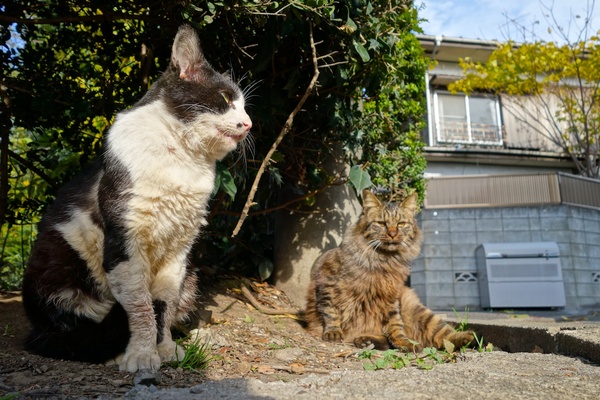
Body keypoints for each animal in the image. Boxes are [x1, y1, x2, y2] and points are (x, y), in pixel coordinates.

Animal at [22, 25, 252, 372]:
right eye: (225, 98)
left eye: (244, 106)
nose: (249, 123)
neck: (182, 158)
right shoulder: (126, 243)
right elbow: (141, 307)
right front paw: (142, 354)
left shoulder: (179, 250)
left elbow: (164, 305)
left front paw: (165, 349)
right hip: (57, 264)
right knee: (80, 328)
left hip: (191, 275)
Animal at [304, 190, 474, 350]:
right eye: (381, 223)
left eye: (400, 224)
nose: (392, 233)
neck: (384, 260)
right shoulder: (327, 283)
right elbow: (331, 312)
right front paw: (333, 331)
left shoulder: (391, 297)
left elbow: (395, 325)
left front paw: (403, 342)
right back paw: (365, 341)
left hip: (421, 313)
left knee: (446, 335)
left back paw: (467, 337)